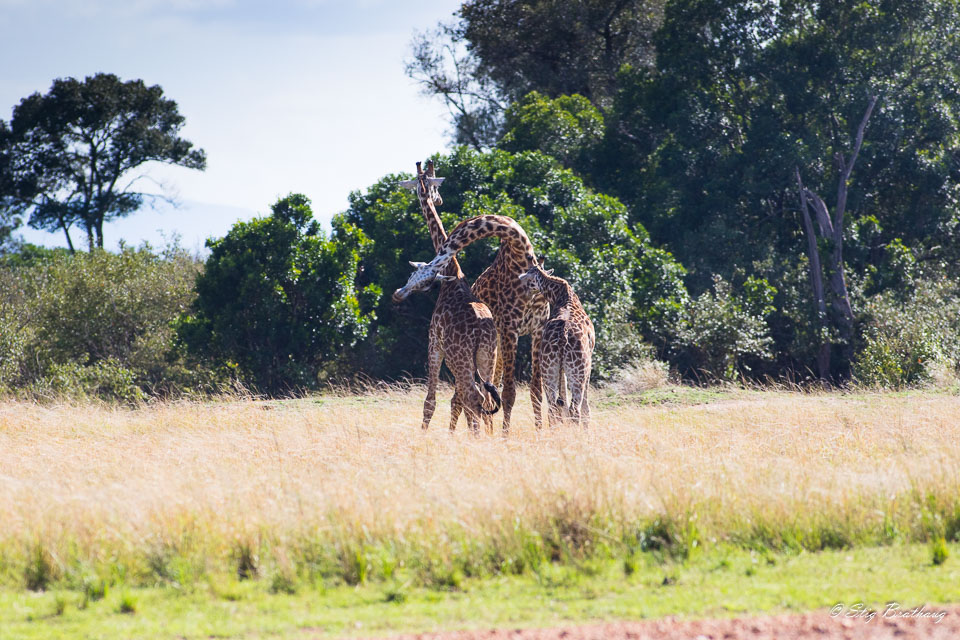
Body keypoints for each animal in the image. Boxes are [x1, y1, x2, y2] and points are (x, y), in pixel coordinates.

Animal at [392, 160, 502, 432]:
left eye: (433, 186)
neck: (454, 274)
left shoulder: (434, 345)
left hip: (459, 358)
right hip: (488, 356)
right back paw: (489, 438)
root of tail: (481, 331)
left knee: (473, 396)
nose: (439, 200)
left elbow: (430, 400)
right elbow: (457, 402)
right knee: (486, 398)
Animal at [394, 214, 552, 430]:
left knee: (478, 395)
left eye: (427, 282)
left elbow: (532, 390)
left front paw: (535, 432)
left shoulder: (536, 327)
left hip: (486, 352)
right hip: (486, 351)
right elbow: (513, 392)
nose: (398, 294)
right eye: (412, 275)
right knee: (470, 397)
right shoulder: (511, 328)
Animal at [516, 262, 592, 428]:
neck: (561, 296)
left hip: (548, 369)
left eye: (527, 275)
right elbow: (585, 408)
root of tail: (563, 337)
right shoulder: (589, 363)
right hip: (578, 371)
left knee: (552, 408)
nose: (519, 280)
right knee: (575, 409)